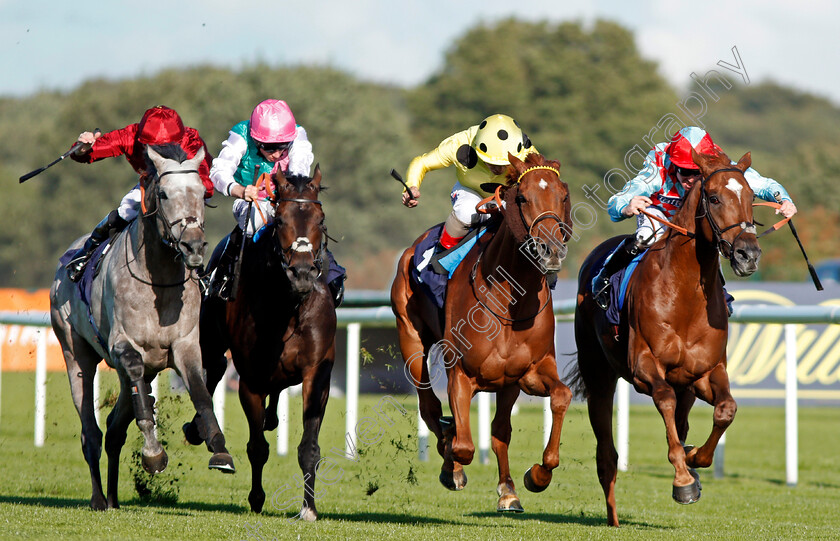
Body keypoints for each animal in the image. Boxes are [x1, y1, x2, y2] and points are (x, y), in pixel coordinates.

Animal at [49, 146, 235, 508]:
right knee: (91, 430)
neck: (158, 281)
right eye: (163, 194)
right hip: (74, 352)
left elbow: (201, 392)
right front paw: (153, 453)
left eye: (202, 192)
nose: (193, 246)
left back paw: (112, 497)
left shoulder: (185, 344)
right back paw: (98, 498)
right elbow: (140, 399)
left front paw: (219, 449)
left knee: (114, 429)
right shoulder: (124, 344)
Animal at [185, 167, 336, 520]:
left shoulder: (317, 373)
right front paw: (256, 498)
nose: (302, 273)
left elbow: (309, 447)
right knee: (214, 368)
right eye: (279, 220)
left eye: (320, 220)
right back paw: (198, 429)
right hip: (212, 339)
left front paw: (309, 508)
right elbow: (257, 448)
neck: (288, 308)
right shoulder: (249, 381)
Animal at [390, 151, 576, 510]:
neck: (509, 302)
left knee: (499, 429)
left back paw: (508, 490)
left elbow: (561, 396)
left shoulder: (529, 372)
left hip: (507, 385)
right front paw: (452, 465)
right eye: (522, 197)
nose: (551, 250)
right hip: (411, 340)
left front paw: (536, 475)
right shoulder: (461, 373)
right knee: (430, 408)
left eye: (563, 195)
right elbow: (462, 445)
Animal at [572, 148, 760, 524]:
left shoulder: (705, 372)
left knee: (683, 420)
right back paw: (613, 518)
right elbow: (664, 400)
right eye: (714, 198)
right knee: (606, 454)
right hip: (598, 375)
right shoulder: (645, 367)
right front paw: (683, 480)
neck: (685, 295)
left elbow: (726, 409)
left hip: (685, 383)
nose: (748, 254)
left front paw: (694, 460)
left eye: (750, 197)